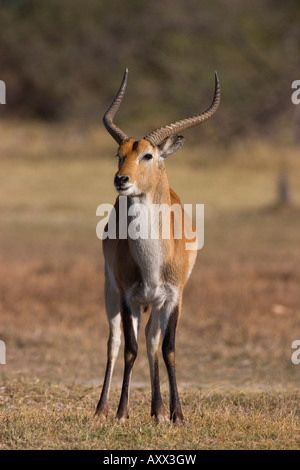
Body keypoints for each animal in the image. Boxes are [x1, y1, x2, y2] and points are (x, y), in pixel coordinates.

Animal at [96, 69, 220, 422]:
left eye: (147, 155)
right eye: (119, 154)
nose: (121, 180)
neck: (152, 261)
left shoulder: (174, 296)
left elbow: (168, 348)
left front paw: (176, 414)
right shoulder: (128, 296)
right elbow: (129, 349)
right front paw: (122, 412)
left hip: (156, 303)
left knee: (153, 341)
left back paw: (158, 410)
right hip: (111, 292)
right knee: (114, 342)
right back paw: (102, 409)